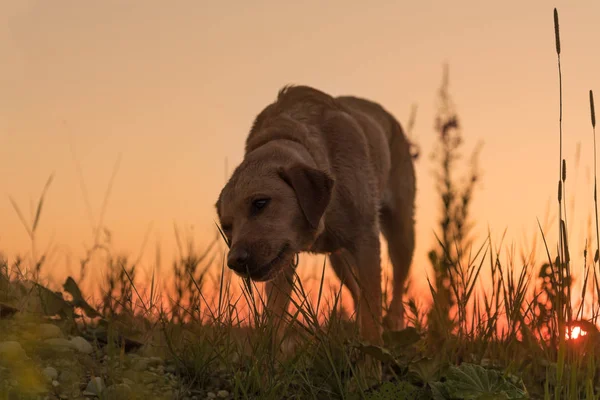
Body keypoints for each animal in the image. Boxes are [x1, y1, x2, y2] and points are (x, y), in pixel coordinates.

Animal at [216, 84, 418, 378]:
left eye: (260, 203)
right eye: (226, 226)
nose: (235, 261)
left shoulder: (367, 242)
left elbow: (371, 317)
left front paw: (369, 373)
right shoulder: (282, 265)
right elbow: (273, 321)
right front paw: (265, 371)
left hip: (401, 235)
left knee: (396, 289)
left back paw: (394, 324)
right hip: (339, 262)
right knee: (357, 294)